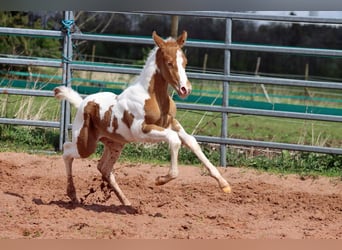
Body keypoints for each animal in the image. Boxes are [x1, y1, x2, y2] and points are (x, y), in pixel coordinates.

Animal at [54, 31, 231, 206]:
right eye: (169, 63)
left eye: (185, 62)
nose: (185, 89)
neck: (152, 96)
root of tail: (82, 103)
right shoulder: (141, 130)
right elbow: (174, 140)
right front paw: (161, 179)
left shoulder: (171, 123)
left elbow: (191, 141)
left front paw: (224, 184)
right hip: (85, 144)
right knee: (67, 150)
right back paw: (73, 195)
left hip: (115, 144)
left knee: (104, 168)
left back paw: (125, 202)